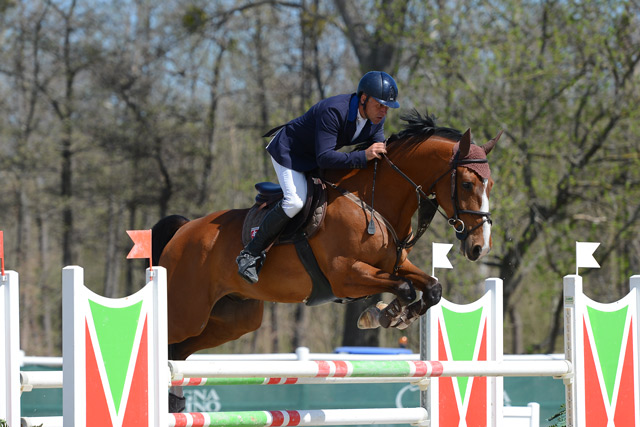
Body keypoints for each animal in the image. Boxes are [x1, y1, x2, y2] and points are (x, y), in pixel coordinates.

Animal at [151, 113, 500, 362]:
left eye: (491, 184)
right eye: (467, 183)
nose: (479, 248)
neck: (372, 201)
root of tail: (184, 229)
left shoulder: (394, 265)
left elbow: (432, 287)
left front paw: (396, 315)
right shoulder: (345, 276)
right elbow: (404, 287)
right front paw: (384, 314)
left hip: (234, 318)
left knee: (179, 351)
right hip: (187, 311)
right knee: (169, 340)